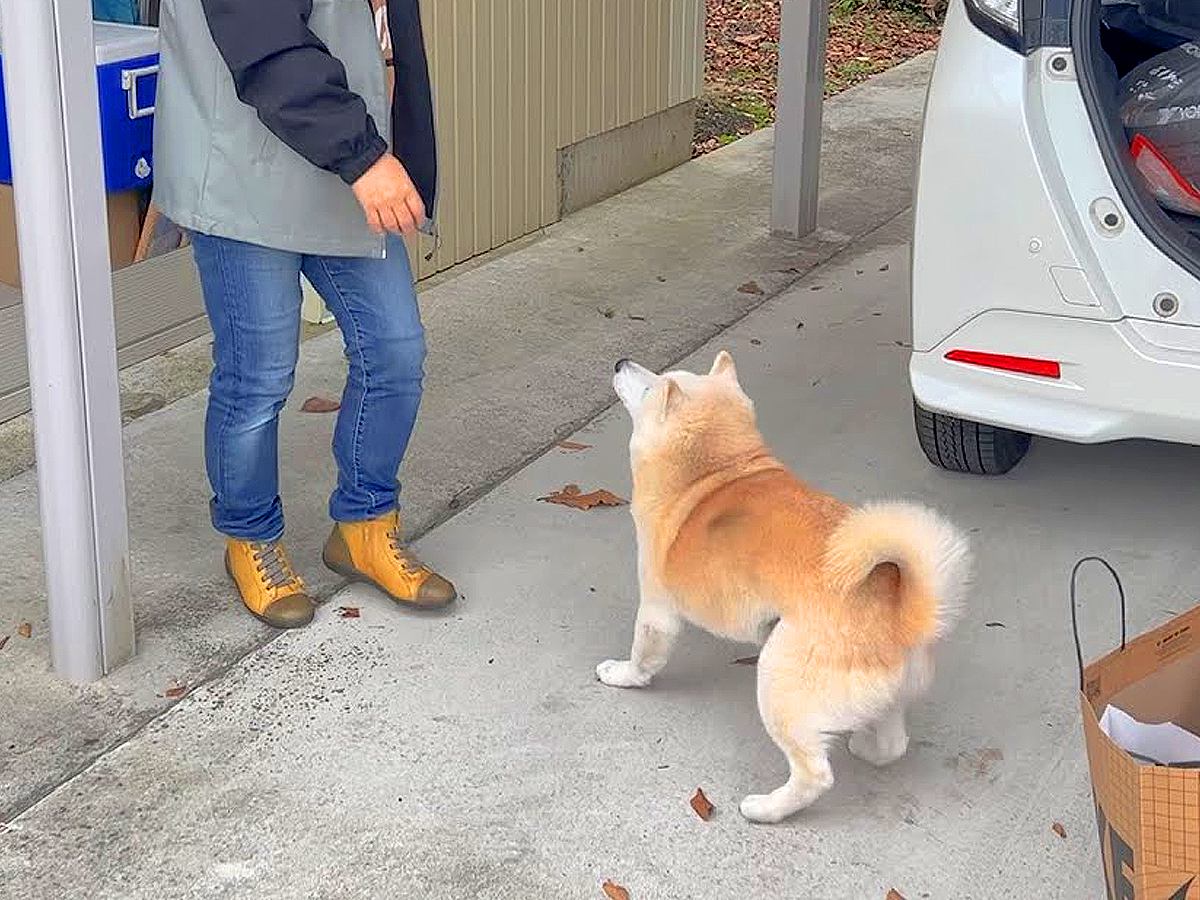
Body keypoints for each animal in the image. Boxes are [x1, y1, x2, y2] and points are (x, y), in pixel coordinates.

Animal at [595, 350, 969, 825]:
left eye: (651, 385)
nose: (621, 361)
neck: (718, 473)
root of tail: (900, 614)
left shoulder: (657, 609)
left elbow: (643, 656)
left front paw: (622, 675)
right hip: (879, 697)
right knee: (891, 745)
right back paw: (864, 746)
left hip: (777, 680)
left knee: (814, 775)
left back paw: (766, 808)